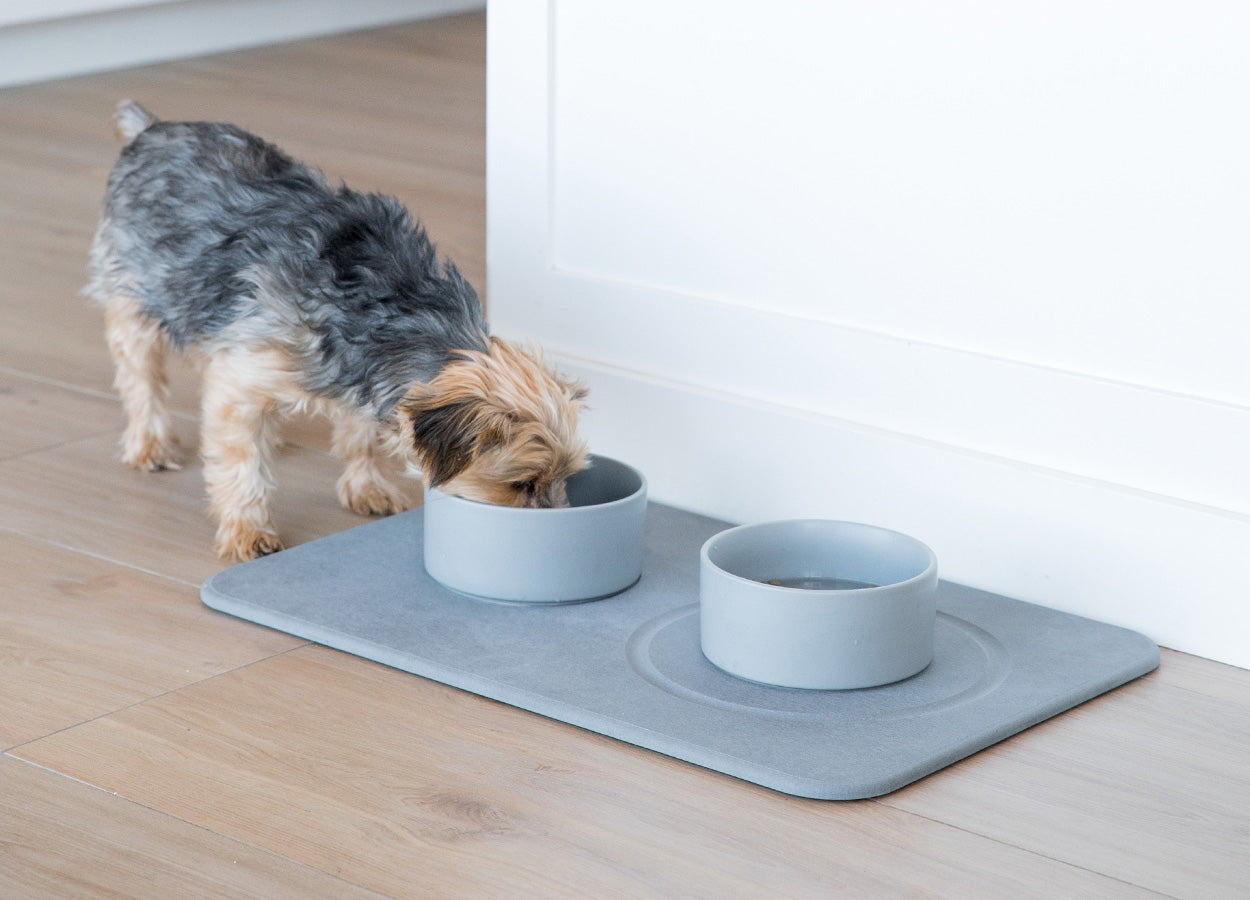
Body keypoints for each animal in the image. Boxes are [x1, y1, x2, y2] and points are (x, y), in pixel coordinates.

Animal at [85, 101, 587, 560]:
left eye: (567, 477)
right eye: (522, 483)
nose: (558, 535)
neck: (396, 316)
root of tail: (151, 128)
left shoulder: (358, 377)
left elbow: (359, 434)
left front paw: (367, 487)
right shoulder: (248, 372)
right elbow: (242, 463)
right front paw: (248, 531)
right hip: (136, 290)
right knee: (141, 376)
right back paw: (150, 444)